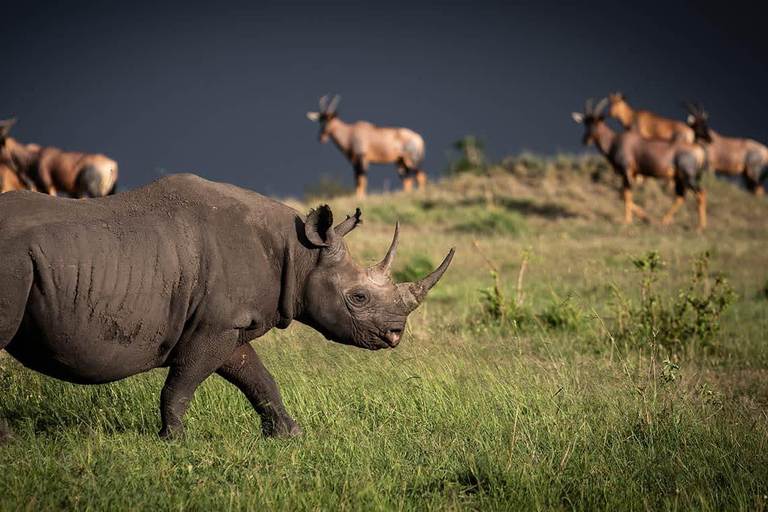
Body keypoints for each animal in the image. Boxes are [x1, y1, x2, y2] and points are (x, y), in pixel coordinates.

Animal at [568, 97, 708, 232]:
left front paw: (626, 222)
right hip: (679, 177)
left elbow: (627, 194)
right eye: (586, 122)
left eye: (597, 122)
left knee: (701, 193)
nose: (585, 140)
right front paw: (645, 218)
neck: (616, 140)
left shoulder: (626, 171)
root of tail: (699, 150)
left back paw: (700, 227)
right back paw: (661, 222)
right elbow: (622, 195)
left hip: (689, 176)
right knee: (681, 197)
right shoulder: (632, 174)